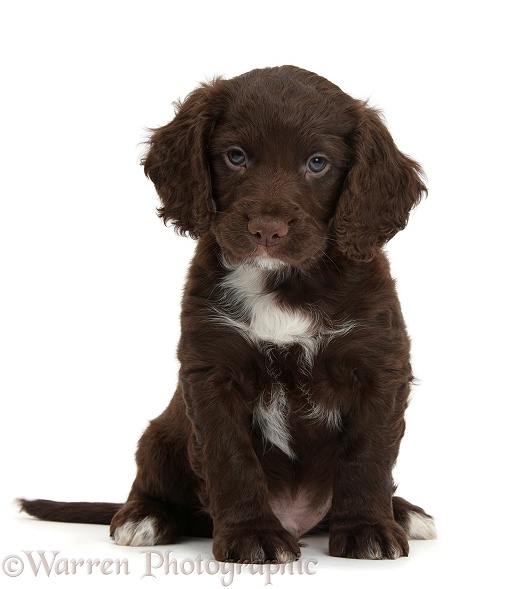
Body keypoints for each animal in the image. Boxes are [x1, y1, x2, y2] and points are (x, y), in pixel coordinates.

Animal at [19, 64, 434, 560]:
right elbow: (231, 458)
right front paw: (253, 534)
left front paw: (369, 528)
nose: (267, 230)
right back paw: (143, 517)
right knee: (150, 485)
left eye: (318, 163)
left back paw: (404, 513)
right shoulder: (211, 372)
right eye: (236, 157)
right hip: (159, 436)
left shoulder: (379, 365)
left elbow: (367, 455)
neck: (283, 283)